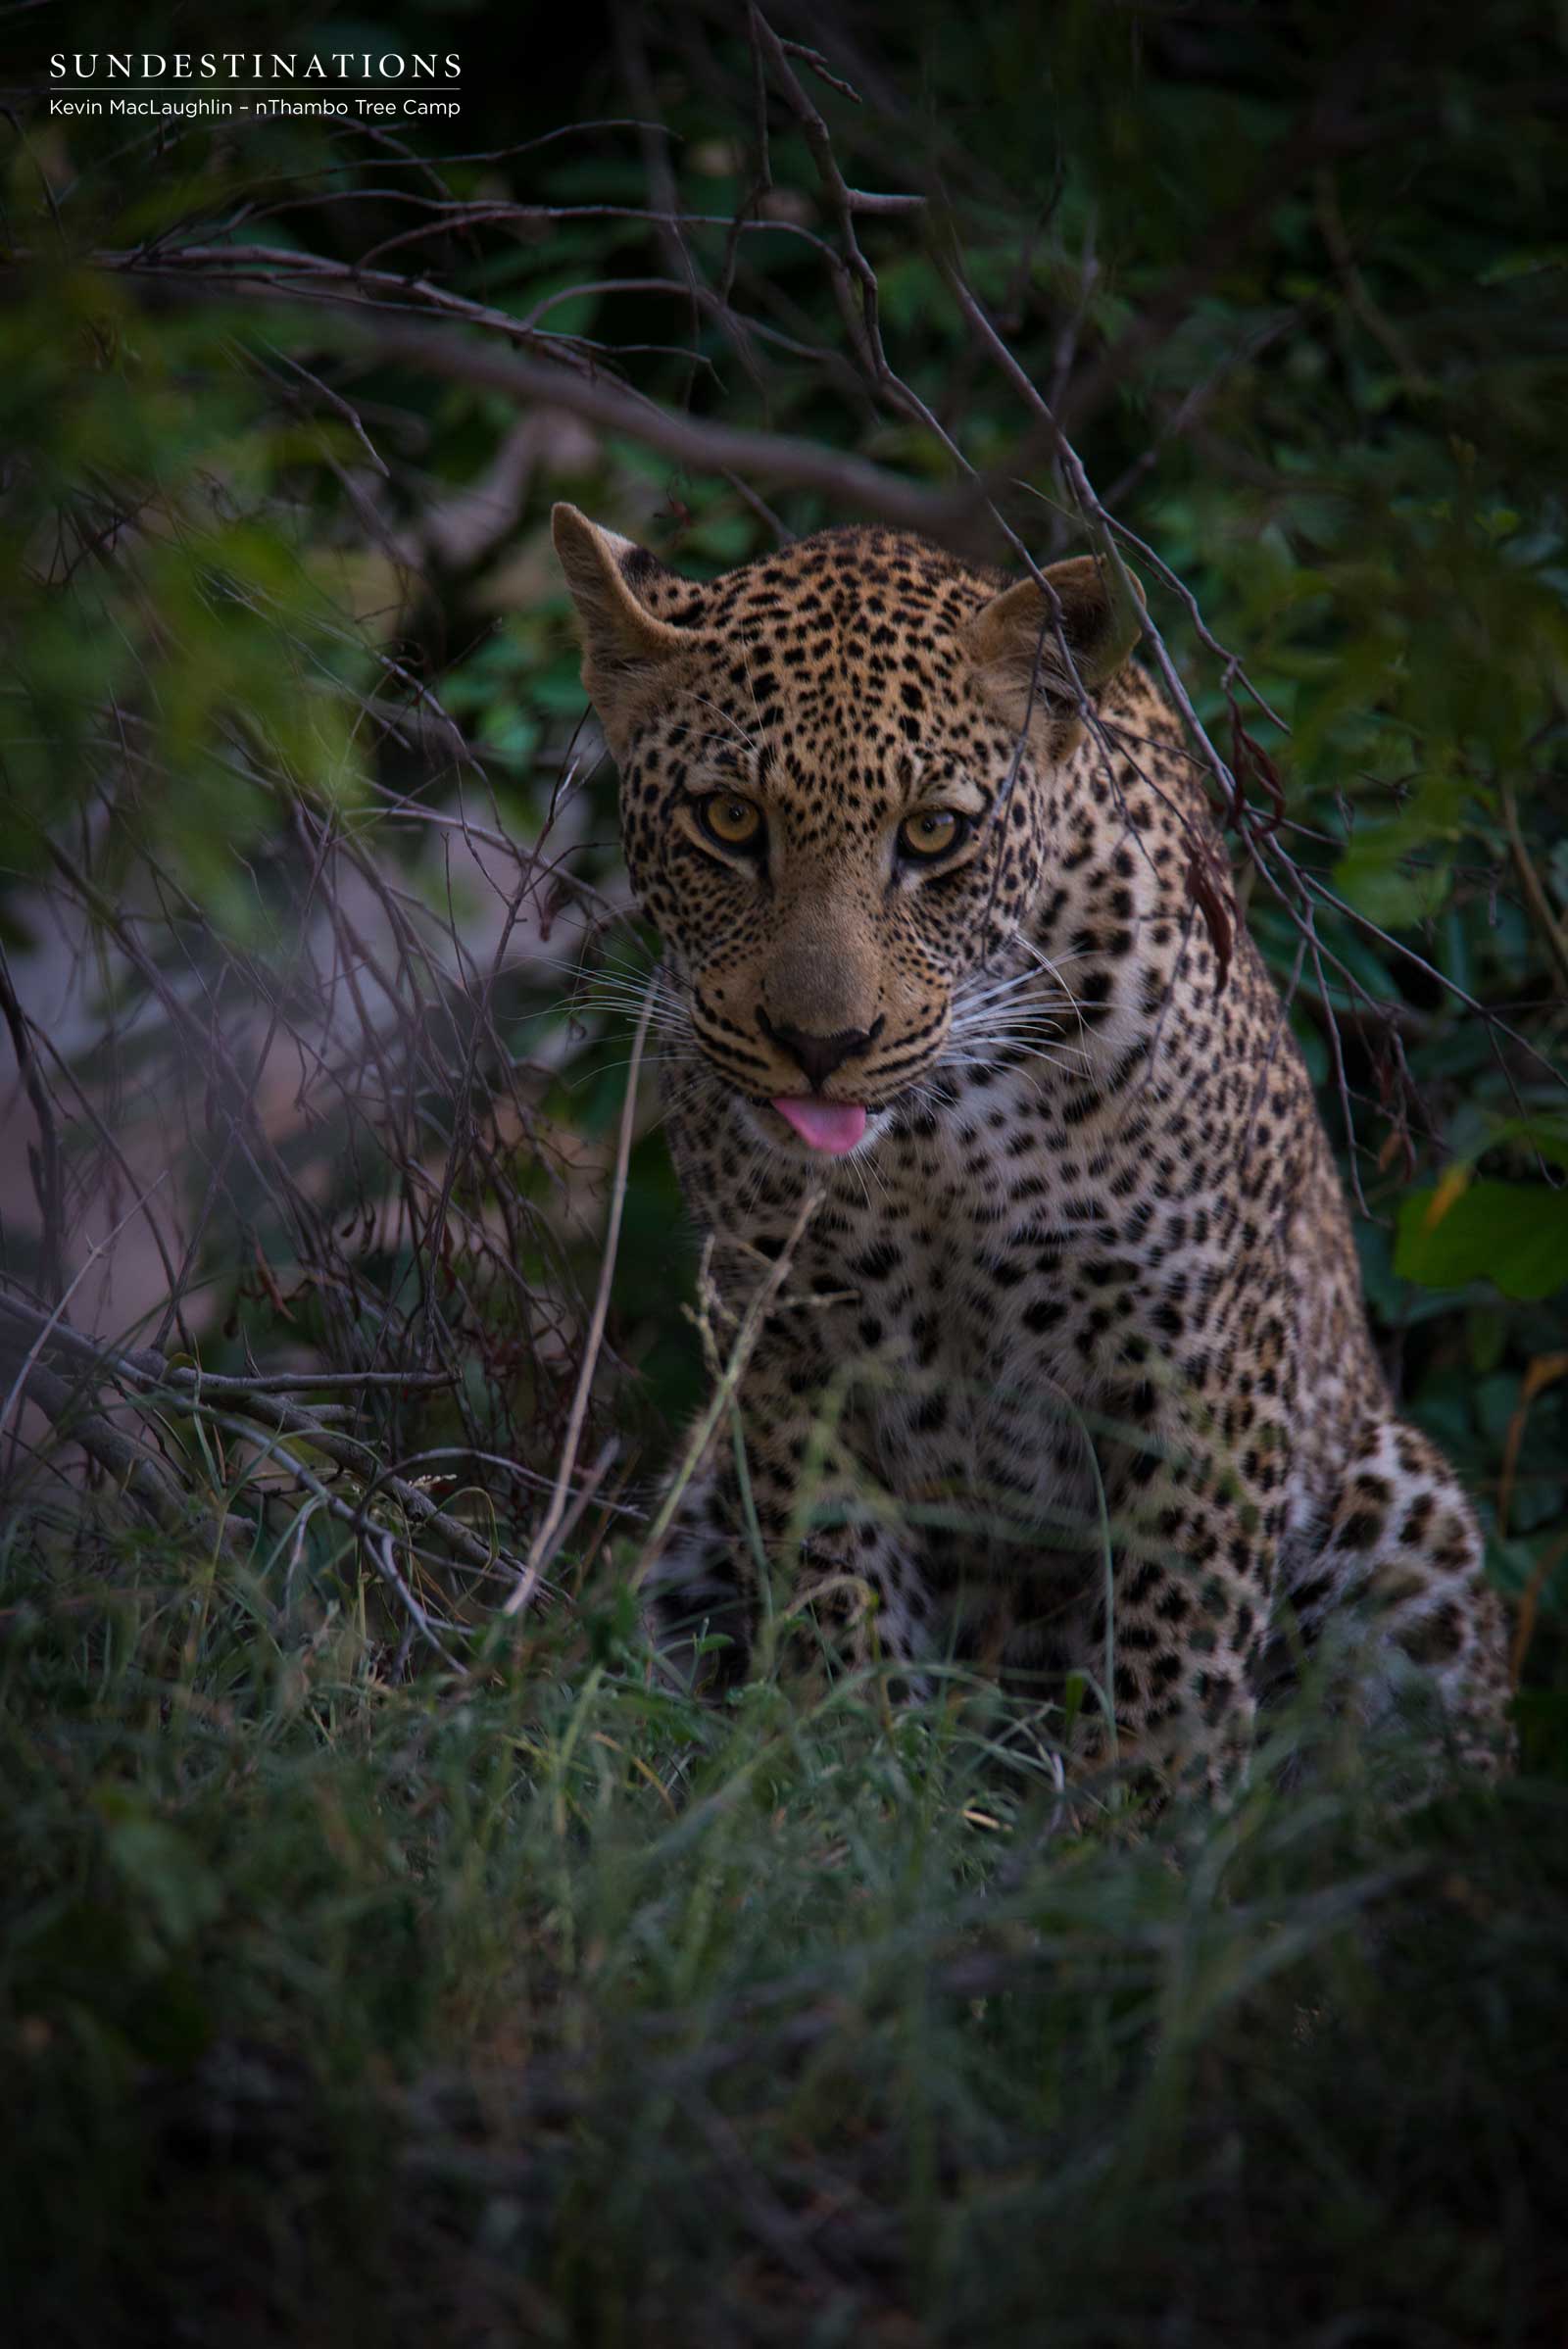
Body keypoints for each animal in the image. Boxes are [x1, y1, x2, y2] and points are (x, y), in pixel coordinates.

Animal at [553, 500, 1513, 1799]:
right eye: (729, 820)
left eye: (934, 834)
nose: (821, 1046)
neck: (936, 1144)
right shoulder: (789, 1341)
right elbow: (835, 1589)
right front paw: (850, 1777)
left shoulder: (1199, 1352)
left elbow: (1179, 1633)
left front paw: (1152, 1821)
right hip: (691, 1511)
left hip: (1402, 1512)